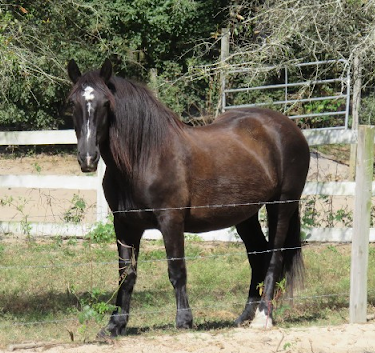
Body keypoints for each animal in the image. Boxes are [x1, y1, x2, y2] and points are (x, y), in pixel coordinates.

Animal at [67, 59, 312, 336]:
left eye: (106, 104)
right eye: (72, 102)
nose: (87, 158)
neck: (145, 157)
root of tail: (289, 128)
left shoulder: (170, 221)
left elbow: (177, 270)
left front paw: (184, 320)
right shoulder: (125, 225)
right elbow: (125, 274)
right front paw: (114, 325)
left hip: (282, 205)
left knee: (275, 257)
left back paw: (263, 317)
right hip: (245, 214)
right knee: (257, 256)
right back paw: (244, 317)